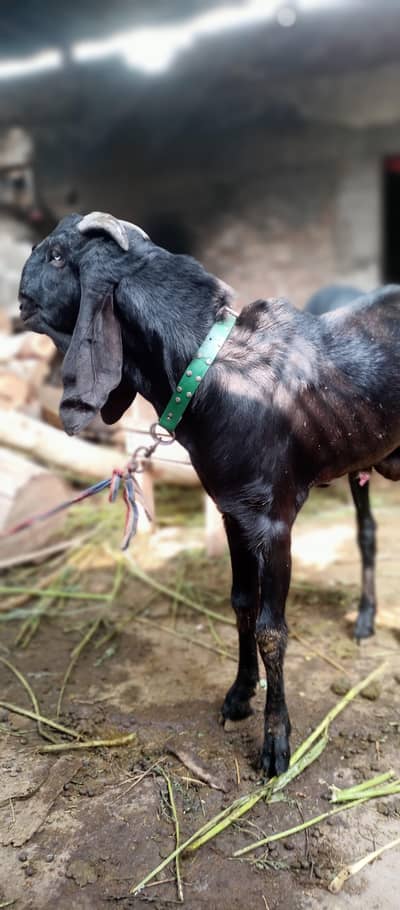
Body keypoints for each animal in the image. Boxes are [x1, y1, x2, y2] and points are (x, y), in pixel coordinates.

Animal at [18, 212, 400, 778]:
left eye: (60, 257)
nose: (19, 295)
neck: (212, 372)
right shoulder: (232, 511)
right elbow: (241, 604)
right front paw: (239, 695)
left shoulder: (273, 520)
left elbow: (271, 630)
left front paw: (275, 743)